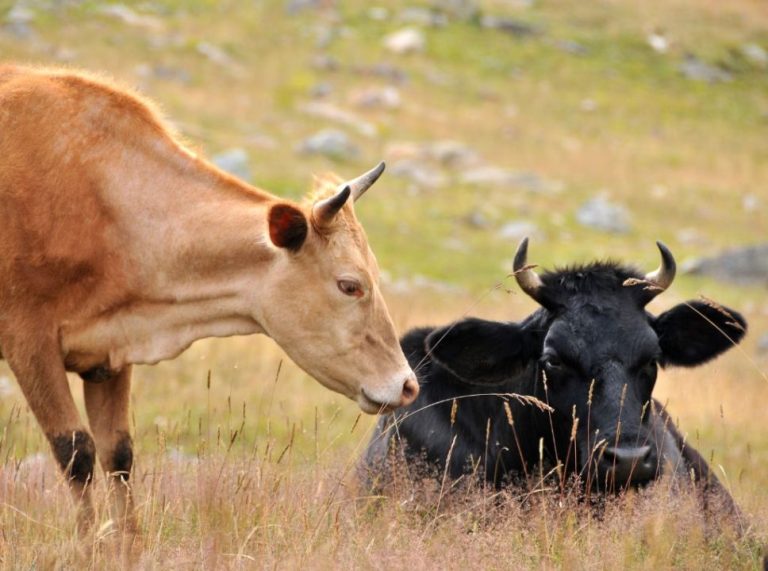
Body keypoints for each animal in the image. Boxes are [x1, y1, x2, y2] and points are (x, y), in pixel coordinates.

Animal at [0, 66, 416, 532]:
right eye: (349, 284)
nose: (408, 385)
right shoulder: (28, 342)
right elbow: (75, 453)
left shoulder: (108, 355)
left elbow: (118, 456)